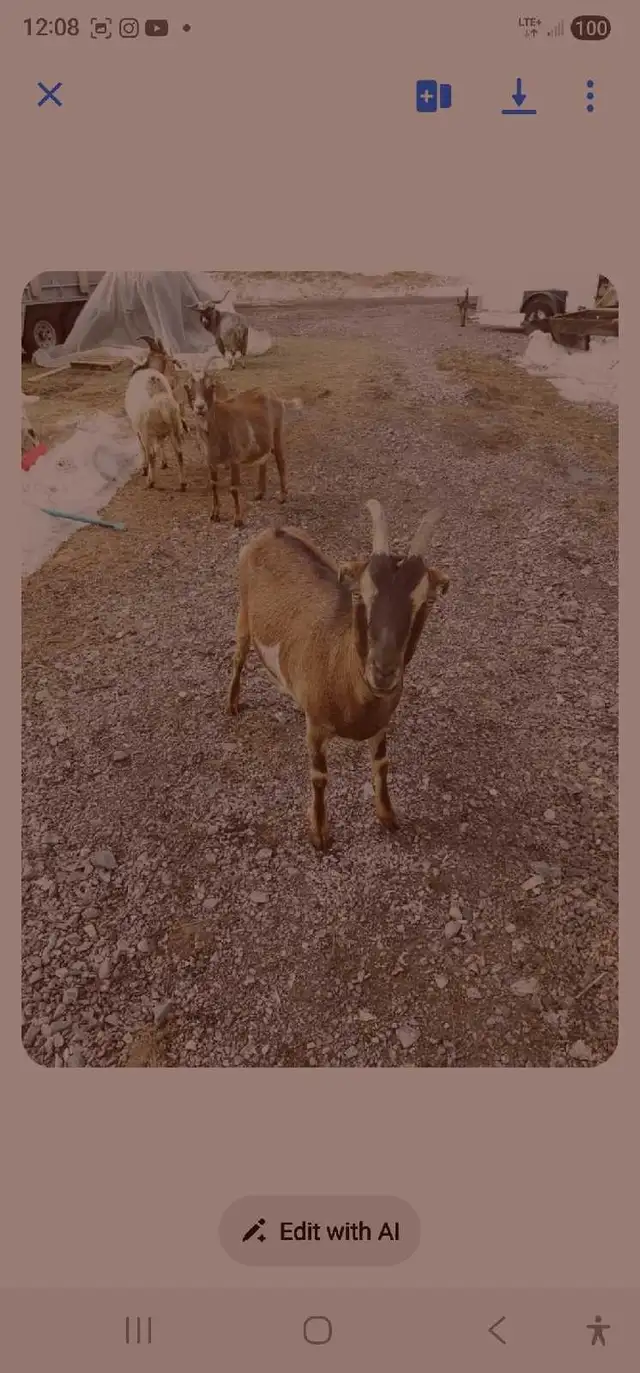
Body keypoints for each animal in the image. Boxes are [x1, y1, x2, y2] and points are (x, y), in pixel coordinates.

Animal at [180, 368, 302, 526]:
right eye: (187, 387)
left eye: (211, 385)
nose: (200, 407)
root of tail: (272, 393)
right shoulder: (210, 461)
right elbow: (213, 485)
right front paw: (214, 515)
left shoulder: (234, 458)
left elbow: (234, 489)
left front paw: (238, 519)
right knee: (263, 459)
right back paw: (259, 493)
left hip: (277, 431)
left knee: (280, 460)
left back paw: (282, 496)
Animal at [227, 500, 449, 850]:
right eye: (360, 595)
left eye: (425, 602)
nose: (383, 671)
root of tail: (272, 531)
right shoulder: (317, 729)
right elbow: (320, 777)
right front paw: (320, 833)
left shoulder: (380, 724)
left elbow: (382, 764)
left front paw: (387, 815)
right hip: (244, 616)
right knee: (238, 657)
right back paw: (232, 704)